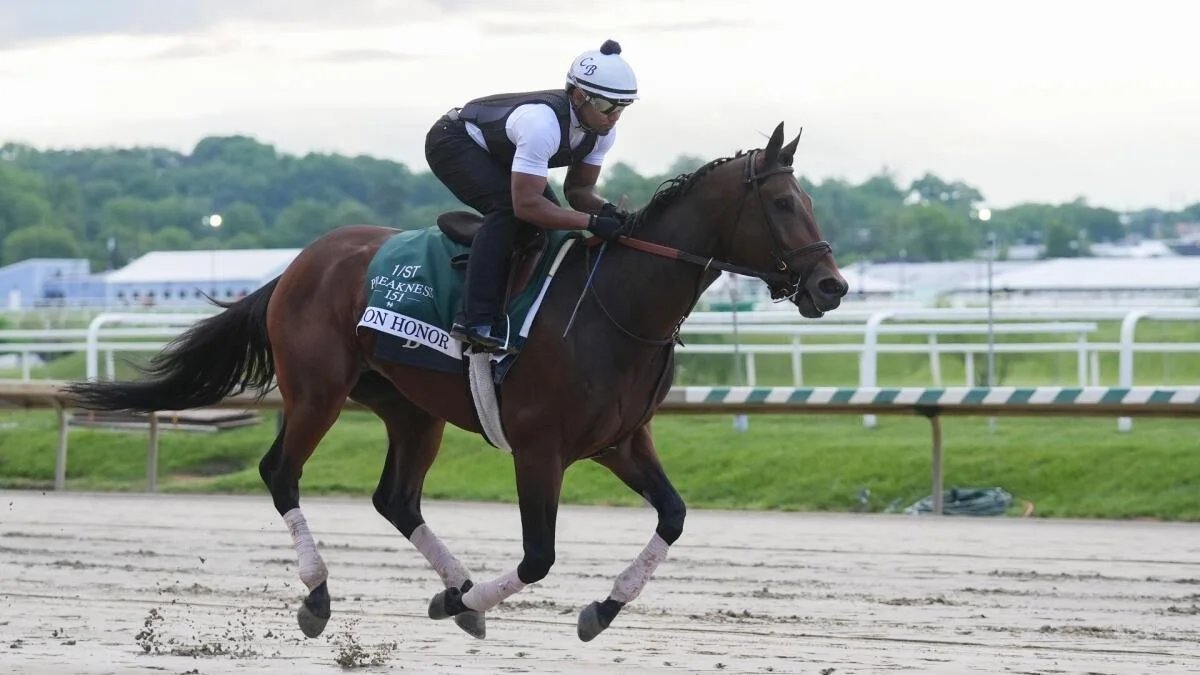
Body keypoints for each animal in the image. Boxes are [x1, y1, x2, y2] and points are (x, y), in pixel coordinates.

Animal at [67, 122, 848, 642]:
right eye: (784, 204)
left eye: (810, 199)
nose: (831, 285)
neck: (617, 304)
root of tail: (297, 264)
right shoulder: (541, 448)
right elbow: (539, 556)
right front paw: (475, 605)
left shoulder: (622, 440)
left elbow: (675, 516)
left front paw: (597, 609)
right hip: (317, 393)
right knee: (279, 472)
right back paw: (321, 596)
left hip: (414, 409)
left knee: (395, 497)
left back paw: (455, 584)